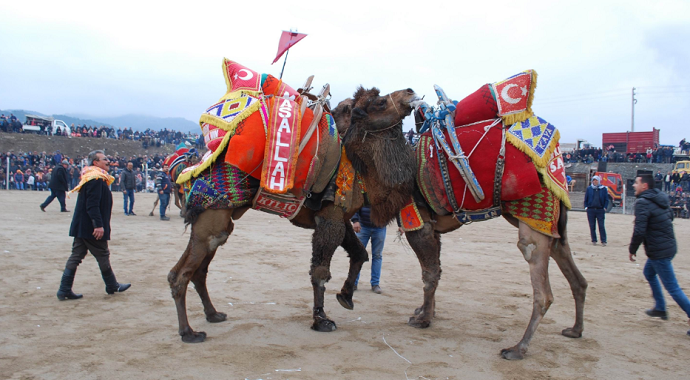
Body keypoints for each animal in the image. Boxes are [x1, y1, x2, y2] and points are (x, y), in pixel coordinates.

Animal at [167, 58, 416, 342]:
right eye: (380, 102)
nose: (410, 92)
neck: (355, 161)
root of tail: (192, 170)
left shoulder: (339, 217)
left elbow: (360, 253)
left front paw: (346, 296)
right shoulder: (330, 217)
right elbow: (320, 272)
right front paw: (321, 320)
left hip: (217, 221)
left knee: (196, 270)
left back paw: (213, 314)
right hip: (212, 220)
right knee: (181, 274)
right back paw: (188, 332)